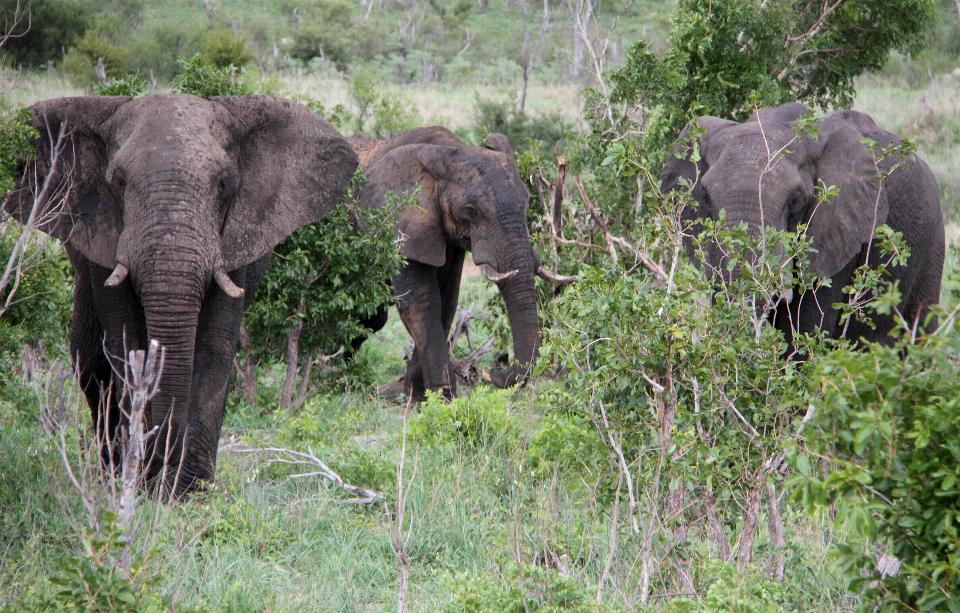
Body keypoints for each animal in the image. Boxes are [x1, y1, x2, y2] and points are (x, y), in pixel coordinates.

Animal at [3, 94, 357, 495]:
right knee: (91, 364)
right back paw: (112, 474)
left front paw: (188, 491)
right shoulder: (106, 236)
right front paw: (143, 485)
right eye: (118, 181)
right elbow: (126, 341)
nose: (162, 468)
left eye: (224, 184)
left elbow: (214, 349)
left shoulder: (232, 241)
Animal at [348, 127, 541, 400]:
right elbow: (422, 302)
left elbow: (447, 300)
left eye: (525, 203)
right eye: (470, 211)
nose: (493, 369)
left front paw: (419, 396)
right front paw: (443, 398)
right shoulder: (400, 223)